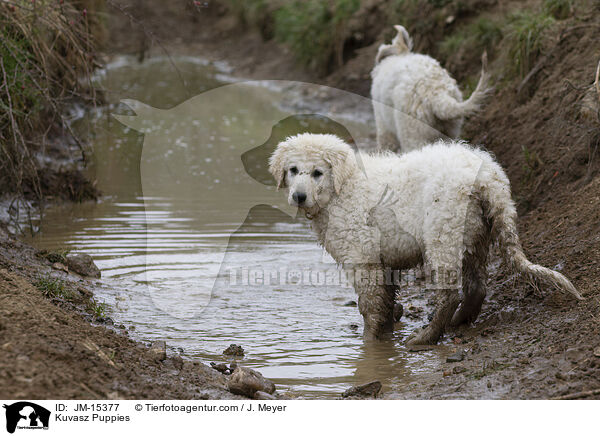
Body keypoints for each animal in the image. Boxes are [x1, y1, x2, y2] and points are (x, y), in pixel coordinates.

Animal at [270, 133, 580, 344]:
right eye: (293, 170)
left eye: (317, 173)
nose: (299, 196)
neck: (343, 187)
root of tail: (490, 178)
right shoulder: (384, 260)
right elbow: (386, 302)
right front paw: (385, 335)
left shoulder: (362, 257)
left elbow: (371, 305)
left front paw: (370, 343)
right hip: (474, 232)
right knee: (477, 285)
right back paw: (459, 321)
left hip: (444, 230)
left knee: (449, 293)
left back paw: (427, 336)